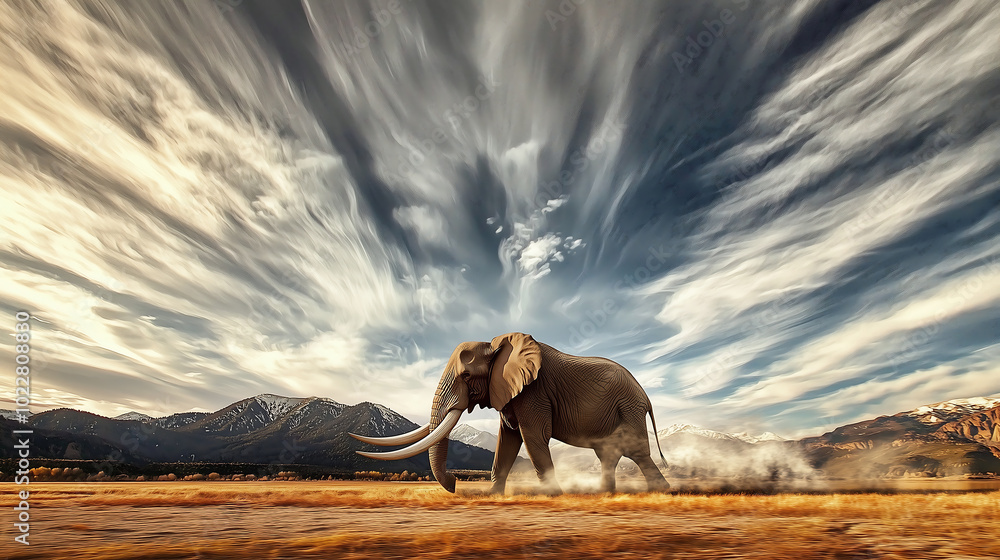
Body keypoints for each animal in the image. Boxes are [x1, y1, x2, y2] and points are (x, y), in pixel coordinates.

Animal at [349, 332, 670, 494]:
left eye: (467, 376)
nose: (454, 482)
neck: (497, 346)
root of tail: (646, 396)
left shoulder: (534, 392)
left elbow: (533, 438)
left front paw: (554, 496)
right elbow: (508, 440)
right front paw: (492, 496)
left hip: (628, 408)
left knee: (635, 452)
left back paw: (662, 491)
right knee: (609, 454)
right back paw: (606, 494)